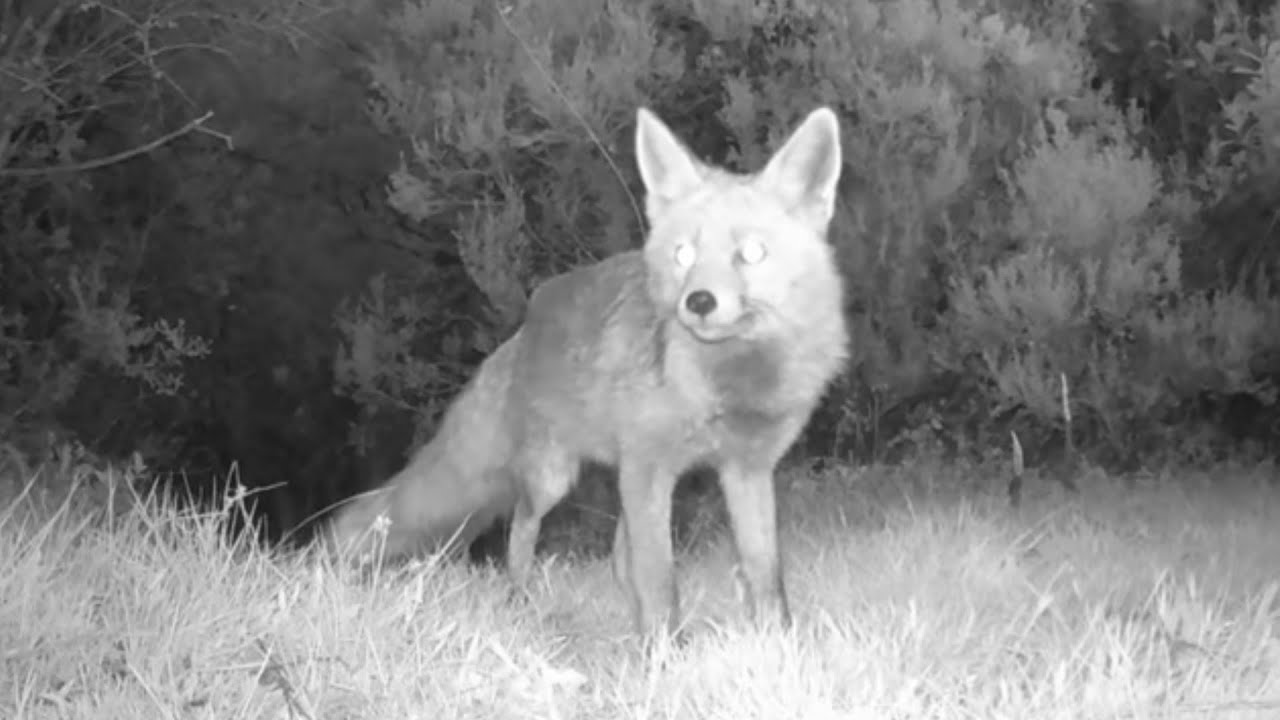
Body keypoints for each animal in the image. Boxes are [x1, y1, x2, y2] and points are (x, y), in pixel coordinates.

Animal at [328, 105, 849, 637]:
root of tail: (522, 331)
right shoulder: (650, 467)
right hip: (553, 478)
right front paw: (665, 647)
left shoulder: (745, 469)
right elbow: (661, 581)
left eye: (752, 253)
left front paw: (778, 639)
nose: (699, 302)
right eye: (683, 254)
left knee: (618, 559)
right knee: (522, 531)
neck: (727, 387)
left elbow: (765, 572)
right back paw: (520, 602)